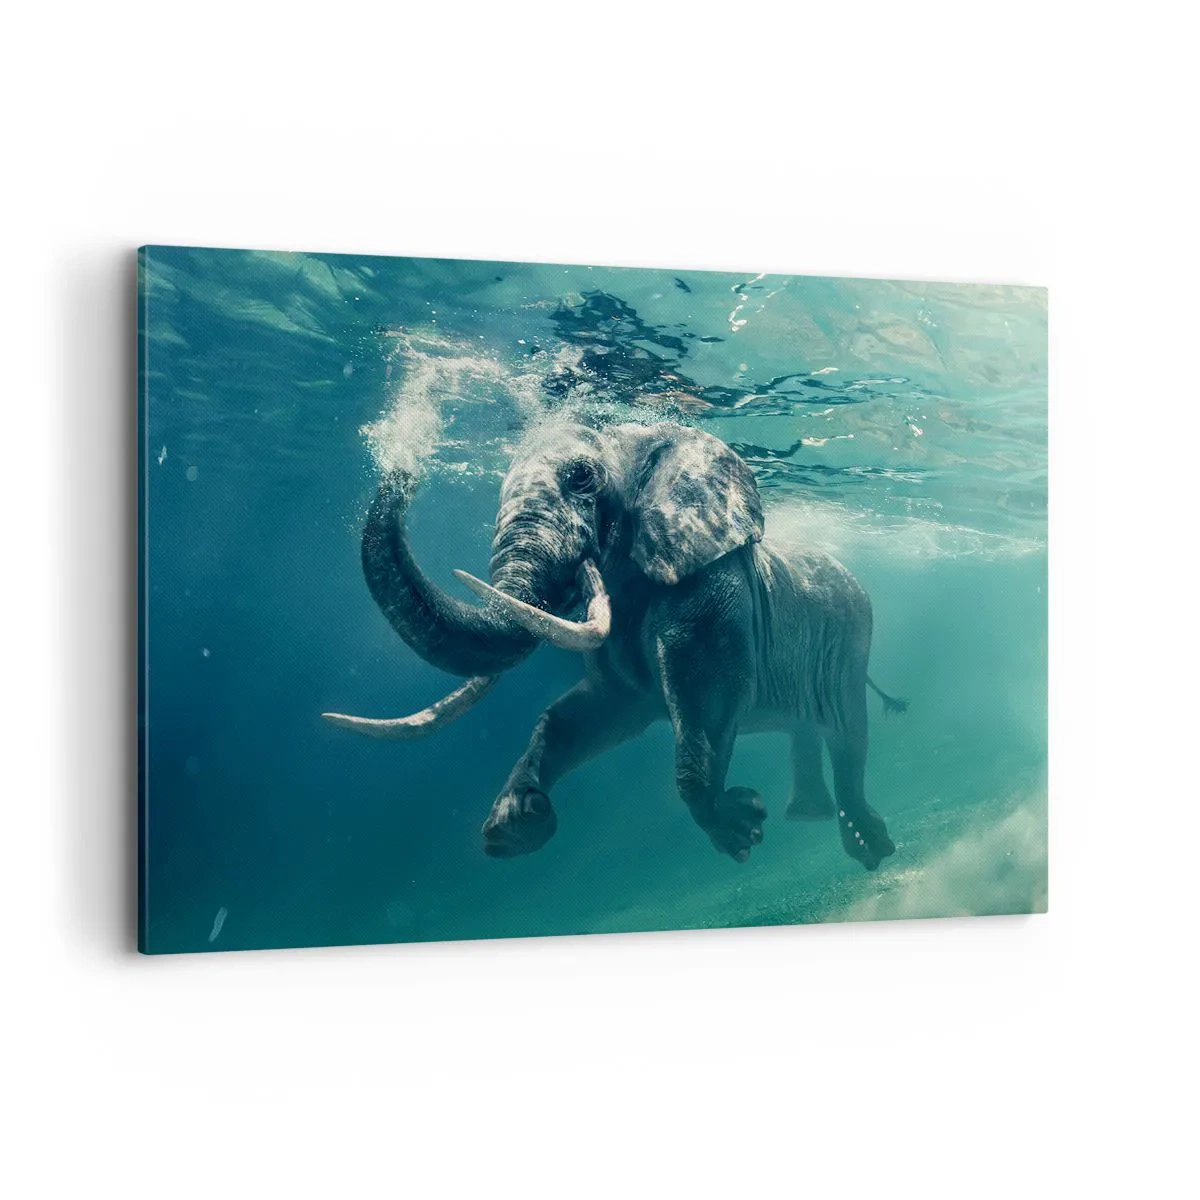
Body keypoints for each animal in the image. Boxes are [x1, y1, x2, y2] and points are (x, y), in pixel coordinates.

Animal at [323, 421, 905, 870]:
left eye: (581, 477)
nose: (403, 464)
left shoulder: (710, 588)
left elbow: (706, 700)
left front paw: (740, 829)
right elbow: (585, 715)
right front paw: (516, 823)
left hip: (853, 642)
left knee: (849, 737)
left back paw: (867, 846)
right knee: (807, 730)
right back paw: (808, 816)